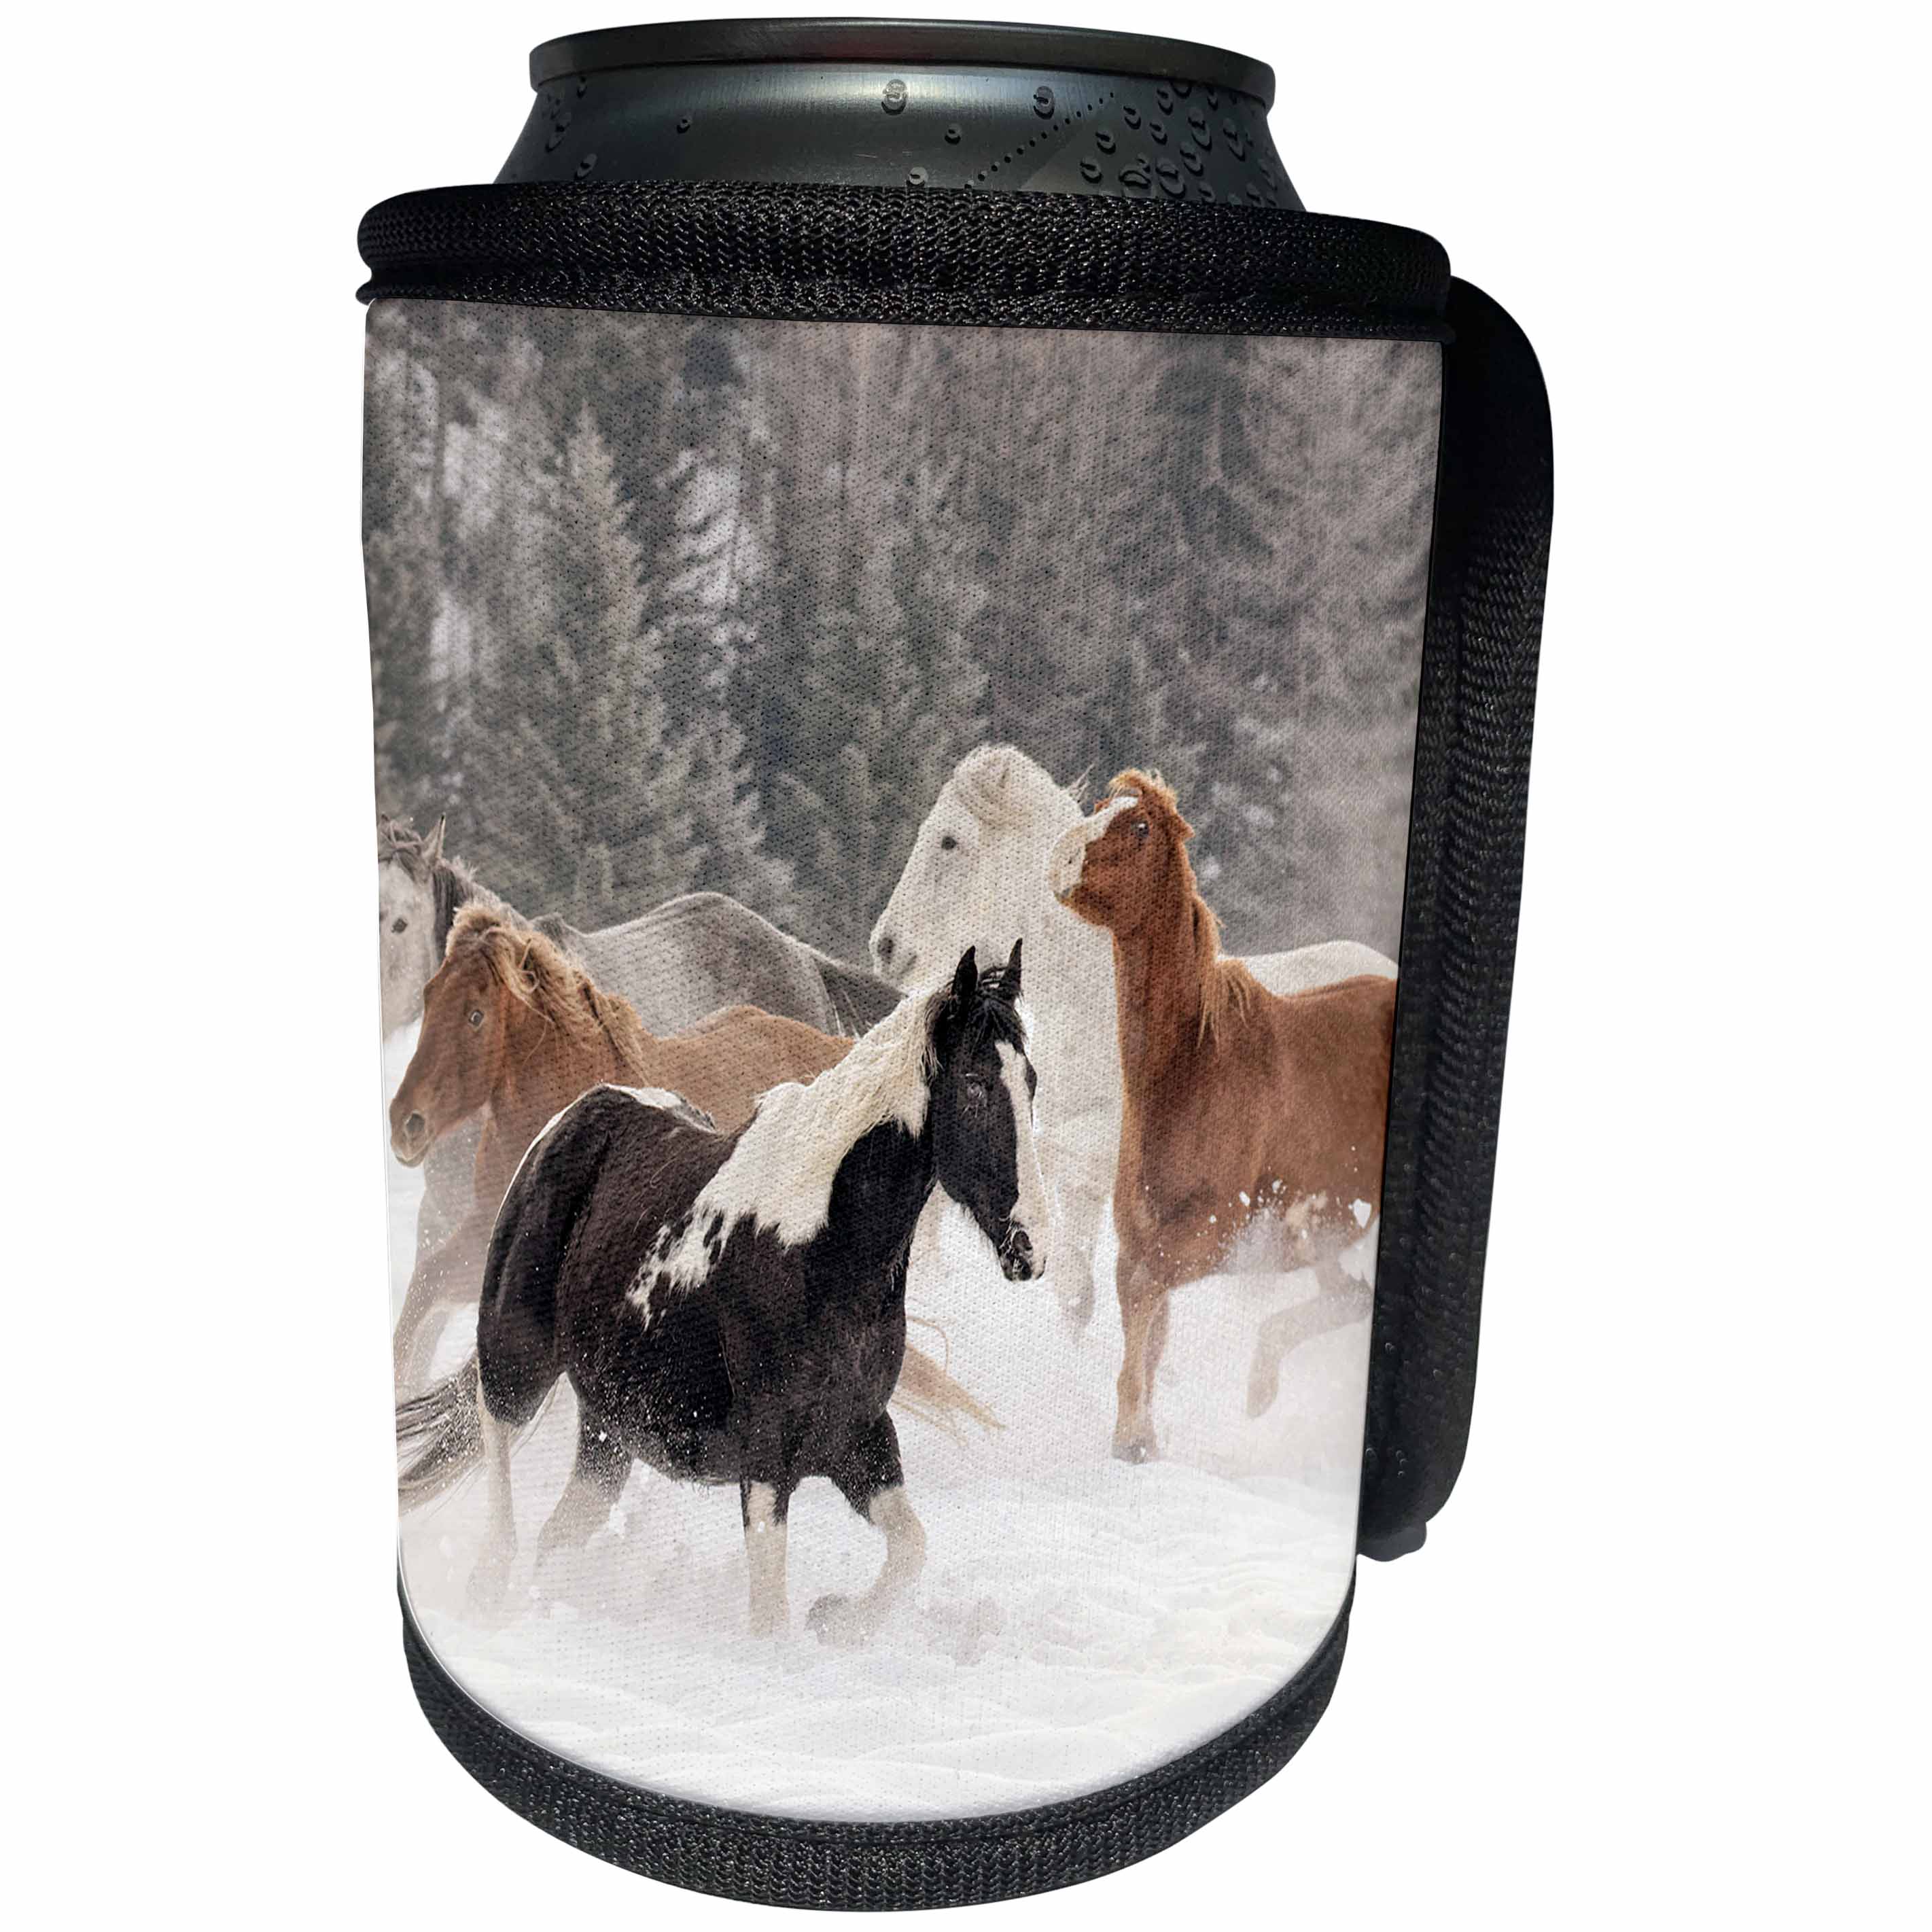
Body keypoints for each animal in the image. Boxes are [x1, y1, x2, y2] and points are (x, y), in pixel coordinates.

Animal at [396, 943, 1047, 1641]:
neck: (823, 1248)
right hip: (516, 1353)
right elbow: (770, 1616)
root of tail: (576, 1114)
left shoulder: (858, 1437)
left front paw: (836, 1620)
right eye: (976, 1082)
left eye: (1031, 1081)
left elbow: (910, 1548)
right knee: (497, 1448)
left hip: (609, 1428)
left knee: (558, 1537)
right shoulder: (765, 1454)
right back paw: (488, 1587)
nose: (1031, 1247)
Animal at [1048, 772, 1399, 1462]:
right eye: (1099, 807)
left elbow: (1142, 1300)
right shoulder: (1140, 1234)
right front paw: (1142, 1441)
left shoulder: (1209, 1233)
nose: (1059, 858)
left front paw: (1130, 1437)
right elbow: (1148, 1327)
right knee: (1348, 1300)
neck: (1197, 1066)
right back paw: (1260, 1394)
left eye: (1140, 827)